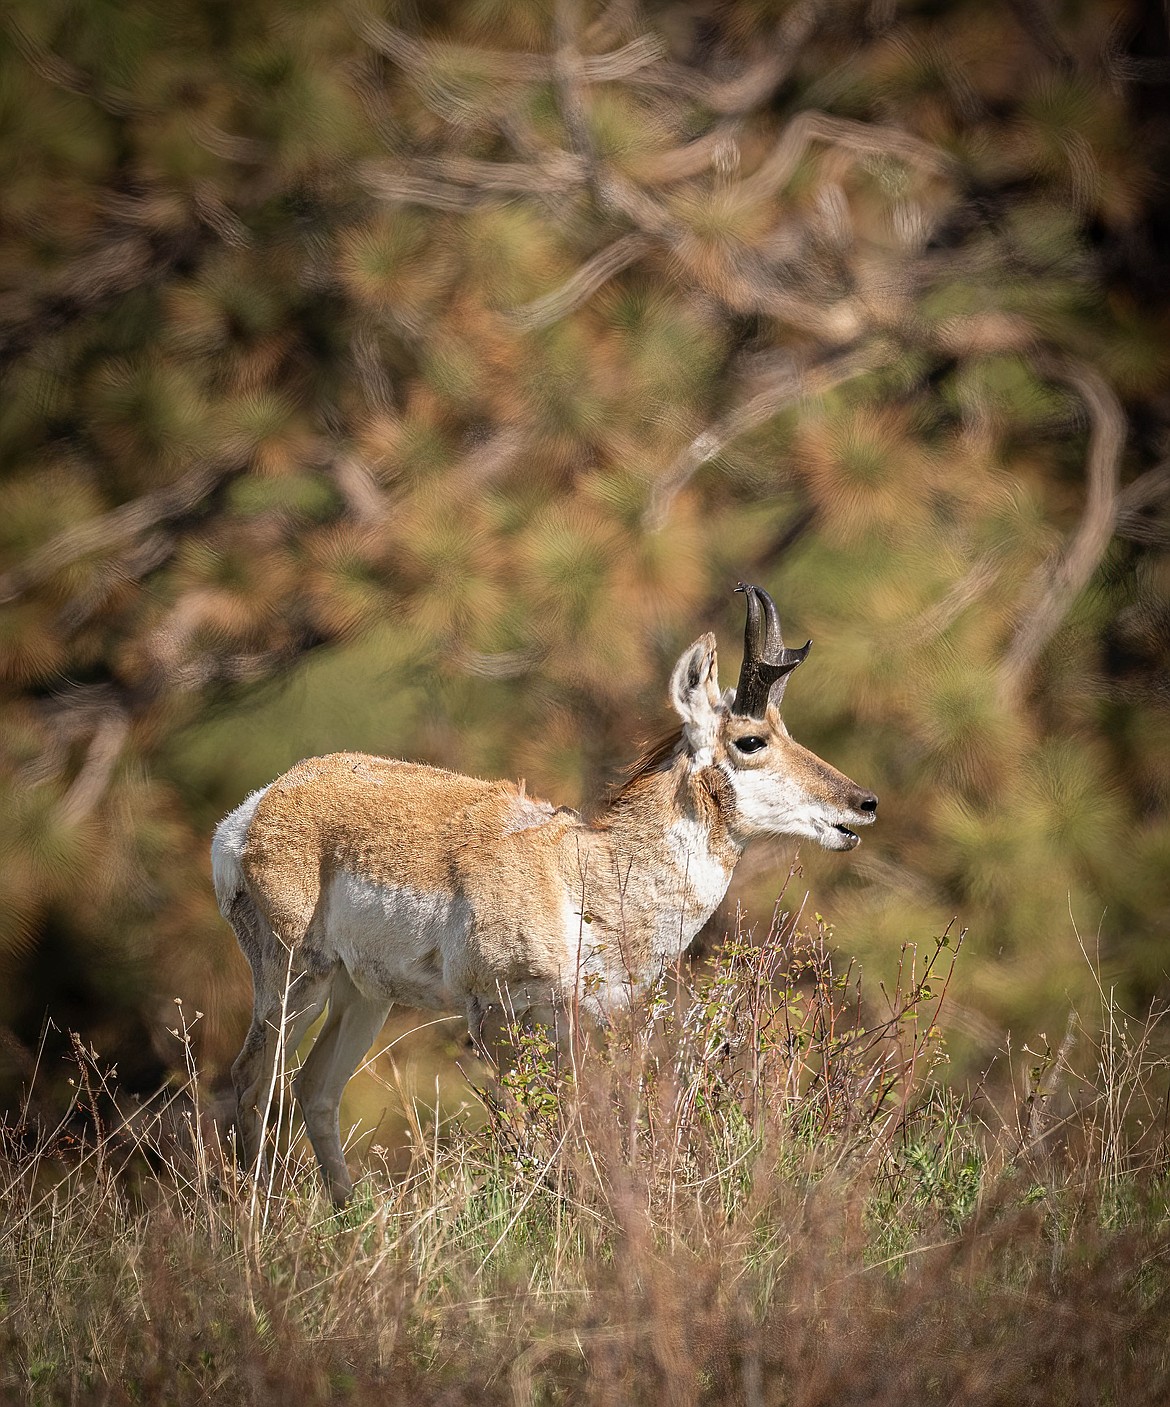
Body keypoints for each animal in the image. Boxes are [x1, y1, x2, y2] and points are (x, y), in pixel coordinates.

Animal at [212, 582, 877, 1198]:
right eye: (751, 740)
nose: (863, 803)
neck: (582, 873)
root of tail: (260, 805)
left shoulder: (582, 1024)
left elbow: (578, 1120)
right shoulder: (496, 1018)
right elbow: (532, 1131)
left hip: (362, 995)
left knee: (313, 1089)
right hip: (296, 978)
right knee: (249, 1081)